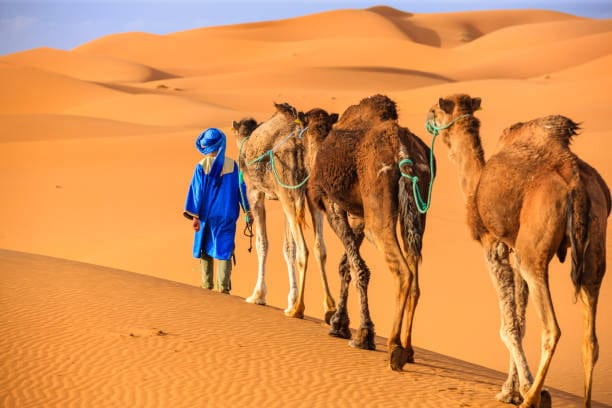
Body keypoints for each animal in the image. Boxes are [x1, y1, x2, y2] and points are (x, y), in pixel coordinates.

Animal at [232, 103, 340, 324]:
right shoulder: (284, 199)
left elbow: (262, 244)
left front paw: (258, 295)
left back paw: (298, 309)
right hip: (308, 194)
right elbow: (288, 248)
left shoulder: (255, 192)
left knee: (303, 249)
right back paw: (329, 308)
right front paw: (290, 299)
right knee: (319, 247)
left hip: (287, 190)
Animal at [308, 95, 432, 370]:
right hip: (417, 208)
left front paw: (360, 333)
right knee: (415, 271)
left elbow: (356, 267)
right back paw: (408, 350)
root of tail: (401, 147)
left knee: (402, 271)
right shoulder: (358, 215)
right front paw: (341, 324)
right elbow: (347, 266)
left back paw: (394, 348)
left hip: (378, 205)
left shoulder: (333, 206)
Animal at [428, 92, 608, 408]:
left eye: (437, 110)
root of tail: (577, 182)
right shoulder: (513, 249)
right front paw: (510, 389)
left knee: (552, 329)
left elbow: (508, 324)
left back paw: (532, 397)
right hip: (594, 248)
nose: (428, 118)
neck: (475, 184)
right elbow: (519, 320)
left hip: (533, 255)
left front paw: (518, 390)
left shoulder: (494, 246)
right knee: (591, 339)